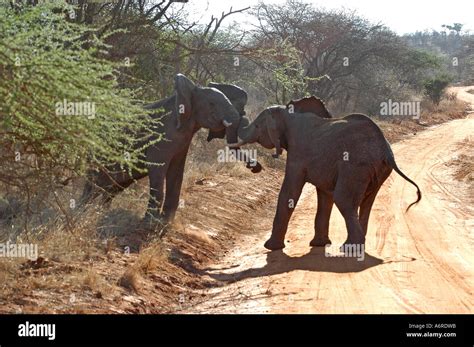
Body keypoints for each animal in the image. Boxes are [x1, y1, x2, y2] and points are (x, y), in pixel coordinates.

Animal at [79, 74, 262, 224]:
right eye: (212, 104)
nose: (256, 168)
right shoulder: (162, 138)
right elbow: (157, 169)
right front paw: (150, 223)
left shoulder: (183, 141)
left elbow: (177, 171)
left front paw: (166, 222)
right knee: (93, 184)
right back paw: (83, 212)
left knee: (110, 188)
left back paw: (97, 212)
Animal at [231, 102, 422, 251]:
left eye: (257, 126)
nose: (256, 167)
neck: (288, 114)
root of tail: (385, 147)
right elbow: (324, 196)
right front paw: (319, 244)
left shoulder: (298, 154)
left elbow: (290, 193)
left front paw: (270, 247)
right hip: (377, 170)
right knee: (367, 202)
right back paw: (356, 246)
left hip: (356, 166)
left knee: (343, 199)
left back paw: (350, 248)